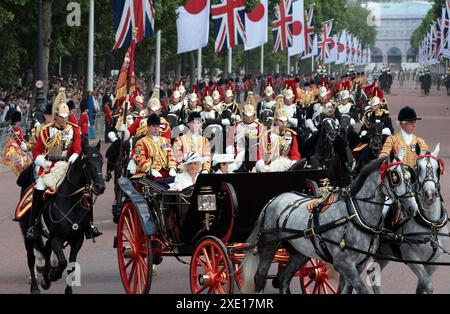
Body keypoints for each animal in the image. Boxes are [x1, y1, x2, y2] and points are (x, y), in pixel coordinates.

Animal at [17, 143, 105, 294]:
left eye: (101, 161)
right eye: (87, 163)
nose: (100, 187)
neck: (70, 202)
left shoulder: (77, 240)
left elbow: (71, 266)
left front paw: (64, 287)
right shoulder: (56, 238)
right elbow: (63, 262)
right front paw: (53, 275)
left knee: (45, 251)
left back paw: (45, 279)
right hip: (28, 236)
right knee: (31, 258)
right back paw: (35, 285)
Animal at [241, 157, 420, 294]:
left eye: (409, 178)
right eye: (395, 177)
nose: (413, 208)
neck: (355, 216)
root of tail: (273, 200)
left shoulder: (358, 266)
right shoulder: (343, 264)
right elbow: (362, 290)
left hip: (301, 252)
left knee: (284, 277)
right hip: (269, 246)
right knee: (260, 277)